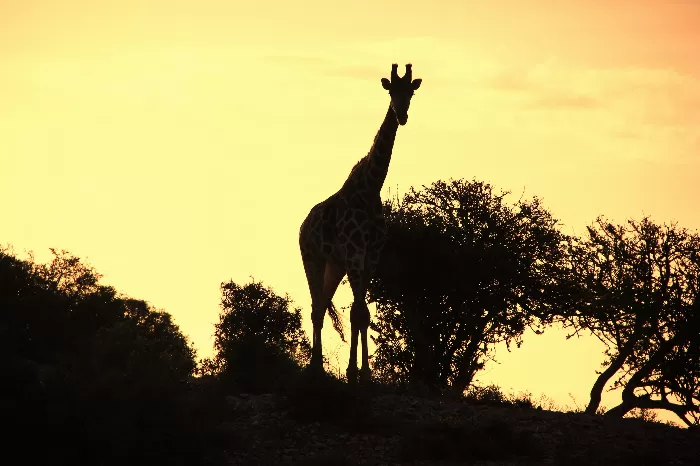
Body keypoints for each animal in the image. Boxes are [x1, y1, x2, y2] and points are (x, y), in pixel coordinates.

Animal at [299, 63, 422, 384]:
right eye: (391, 91)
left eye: (411, 93)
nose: (402, 116)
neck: (370, 188)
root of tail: (302, 225)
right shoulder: (355, 253)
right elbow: (357, 312)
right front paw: (355, 371)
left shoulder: (370, 257)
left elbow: (361, 313)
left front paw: (362, 373)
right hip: (312, 258)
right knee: (316, 308)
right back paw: (315, 367)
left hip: (334, 265)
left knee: (322, 305)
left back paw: (321, 366)